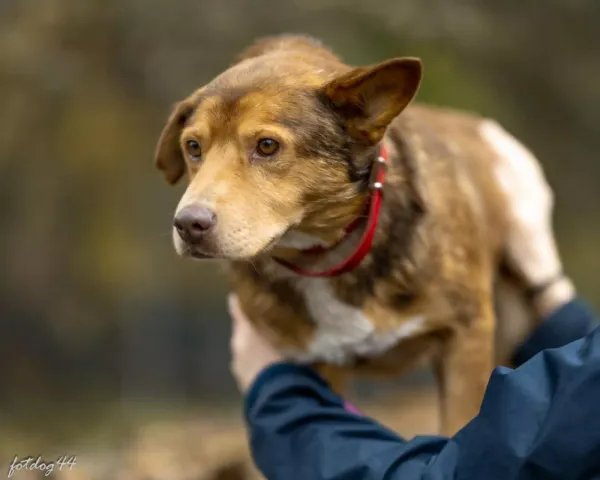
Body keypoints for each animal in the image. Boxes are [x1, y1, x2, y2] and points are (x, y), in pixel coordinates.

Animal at [154, 34, 536, 436]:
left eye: (267, 146)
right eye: (193, 147)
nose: (188, 225)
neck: (322, 254)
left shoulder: (466, 338)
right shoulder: (317, 364)